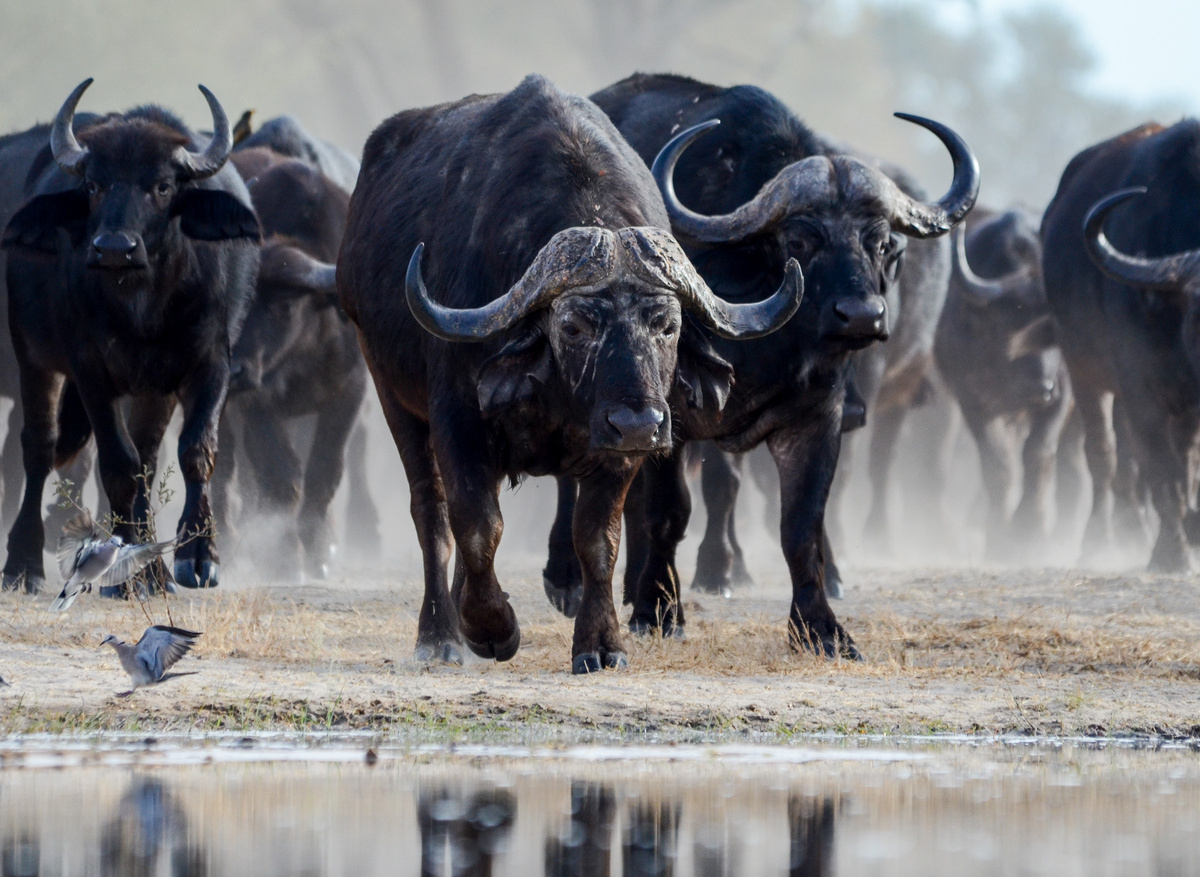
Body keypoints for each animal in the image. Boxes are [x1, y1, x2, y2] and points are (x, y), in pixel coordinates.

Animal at [0, 80, 259, 595]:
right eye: (93, 186)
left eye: (162, 186)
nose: (114, 249)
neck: (143, 304)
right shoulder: (90, 370)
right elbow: (118, 464)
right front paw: (131, 572)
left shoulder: (210, 362)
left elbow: (194, 451)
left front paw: (196, 557)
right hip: (33, 357)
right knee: (39, 447)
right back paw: (23, 563)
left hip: (152, 389)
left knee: (148, 458)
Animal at [337, 75, 801, 673]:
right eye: (575, 325)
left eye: (667, 325)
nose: (640, 423)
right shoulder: (458, 417)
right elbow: (477, 526)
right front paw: (491, 628)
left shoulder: (616, 450)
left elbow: (596, 539)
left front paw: (601, 644)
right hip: (391, 391)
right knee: (432, 514)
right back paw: (441, 633)